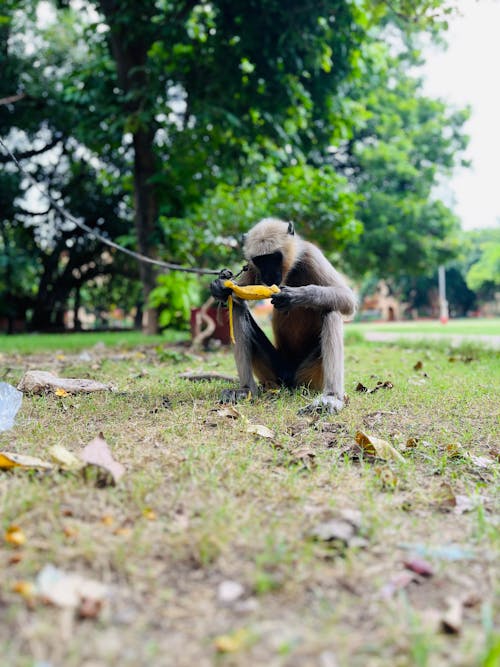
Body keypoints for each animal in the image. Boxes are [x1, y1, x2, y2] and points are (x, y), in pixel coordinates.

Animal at [210, 219, 356, 412]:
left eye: (274, 258)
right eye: (261, 260)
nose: (269, 275)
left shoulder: (311, 255)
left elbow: (348, 300)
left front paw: (295, 296)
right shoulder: (252, 268)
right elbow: (236, 297)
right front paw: (220, 288)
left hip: (309, 377)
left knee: (331, 309)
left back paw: (331, 397)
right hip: (275, 374)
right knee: (238, 308)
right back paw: (247, 389)